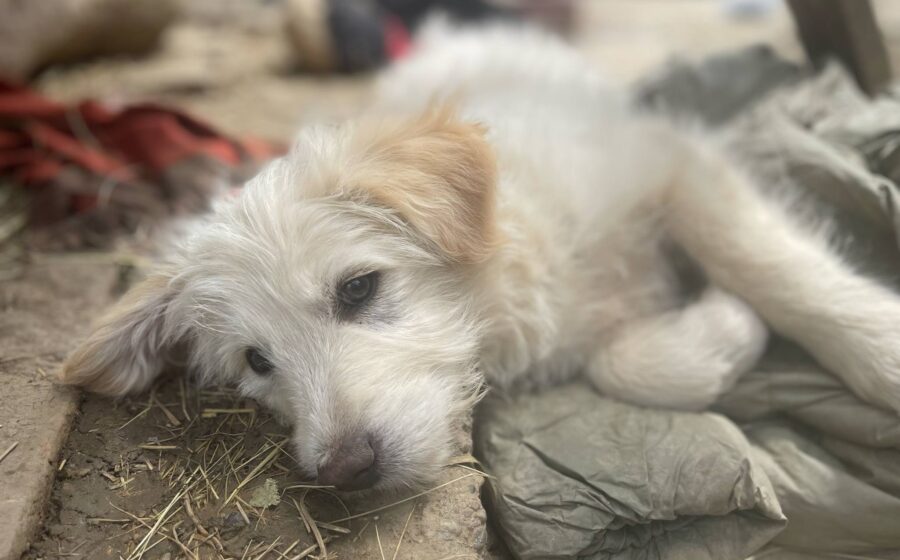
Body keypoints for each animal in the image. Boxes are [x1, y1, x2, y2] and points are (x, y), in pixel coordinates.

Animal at [61, 24, 900, 492]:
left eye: (358, 289)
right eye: (256, 363)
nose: (344, 474)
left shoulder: (671, 163)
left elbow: (766, 261)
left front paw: (877, 344)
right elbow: (628, 364)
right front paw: (722, 331)